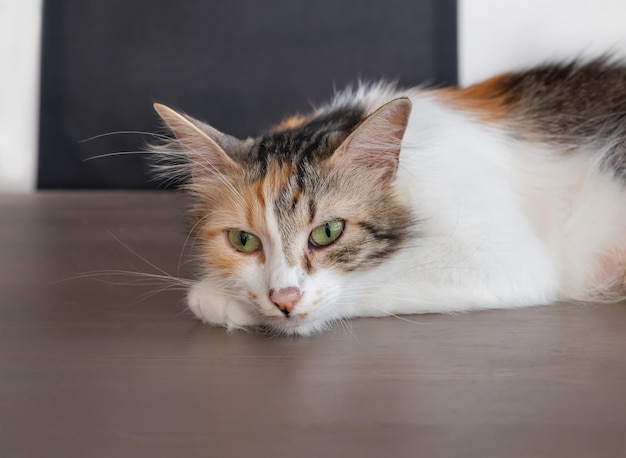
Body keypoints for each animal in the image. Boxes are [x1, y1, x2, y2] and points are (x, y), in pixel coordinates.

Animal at [151, 58, 624, 336]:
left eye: (327, 232)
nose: (283, 300)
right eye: (243, 241)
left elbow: (361, 284)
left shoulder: (504, 257)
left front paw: (217, 297)